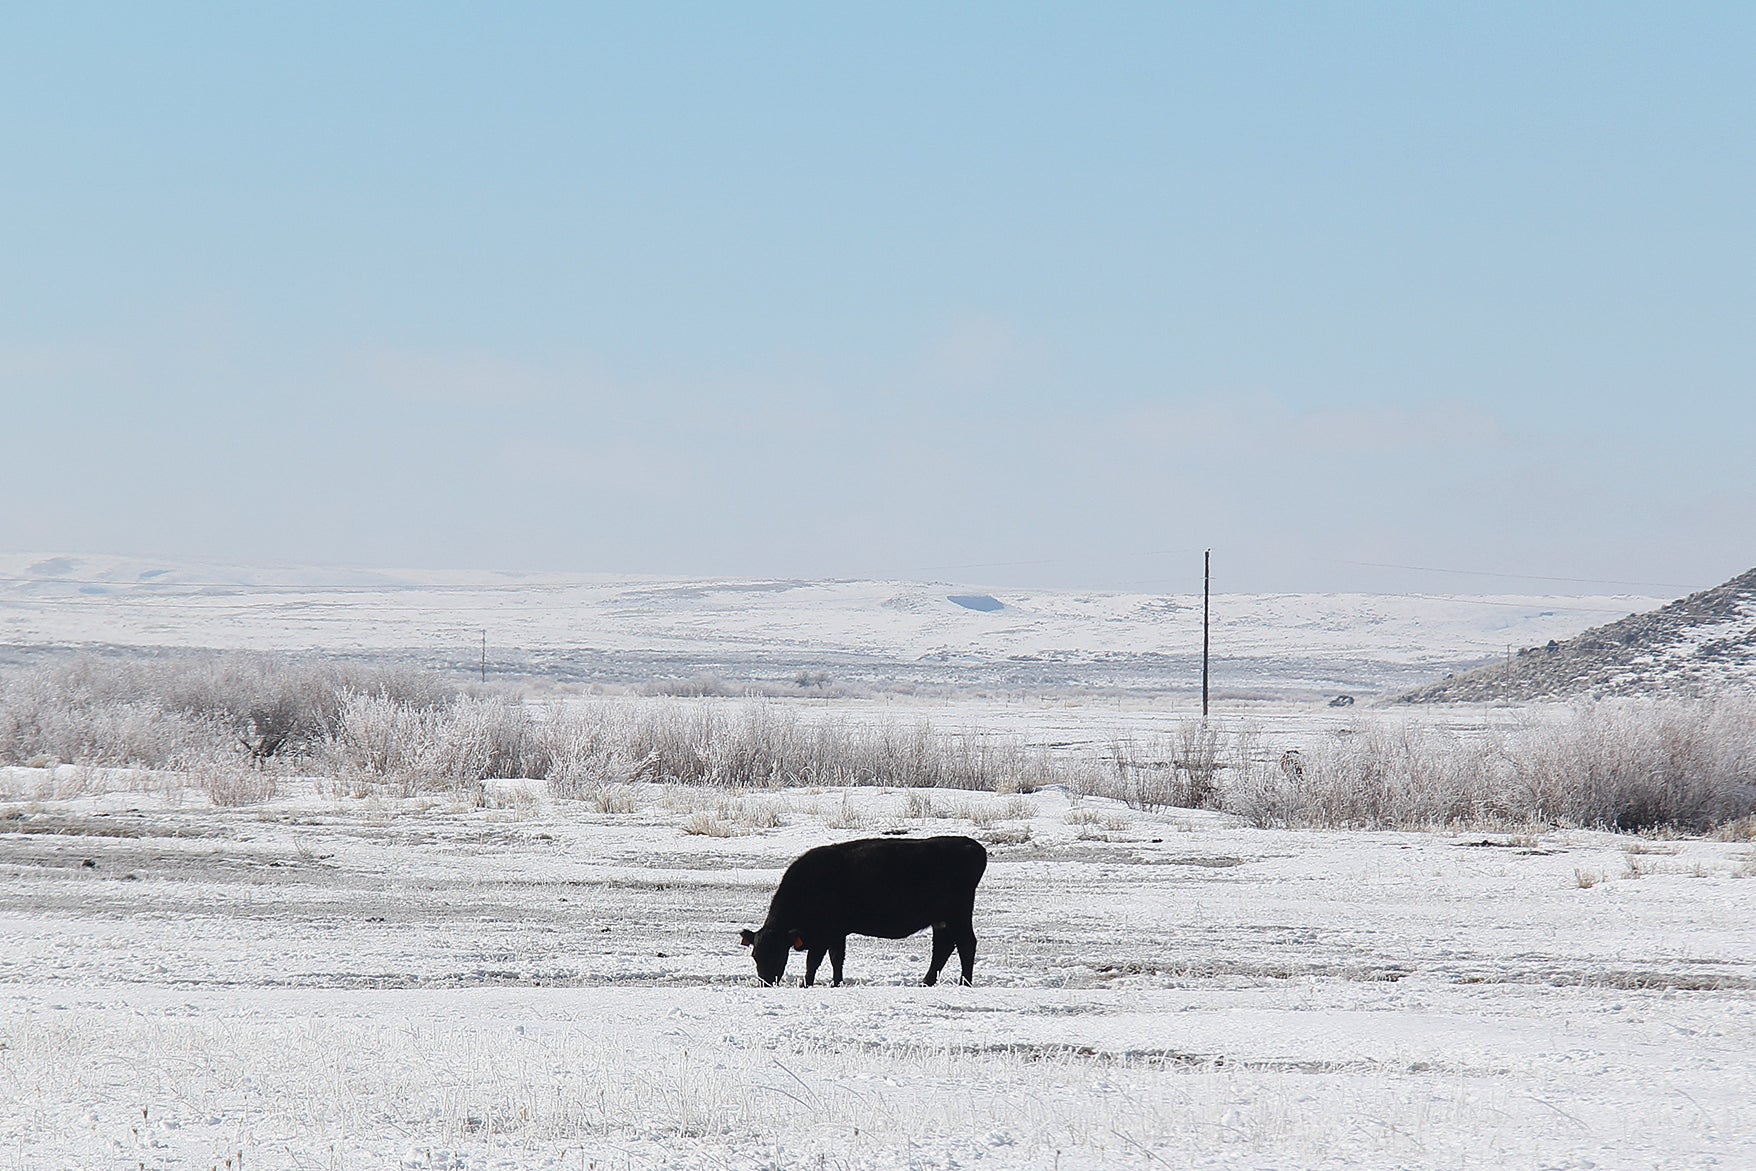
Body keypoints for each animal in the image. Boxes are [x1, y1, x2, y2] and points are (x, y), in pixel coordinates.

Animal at [737, 832, 990, 990]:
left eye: (779, 954)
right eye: (755, 955)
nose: (766, 982)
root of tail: (972, 845)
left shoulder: (825, 934)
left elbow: (815, 961)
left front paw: (807, 983)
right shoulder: (836, 934)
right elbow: (836, 959)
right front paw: (836, 982)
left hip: (958, 914)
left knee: (966, 944)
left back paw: (964, 982)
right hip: (942, 919)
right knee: (943, 948)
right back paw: (926, 982)